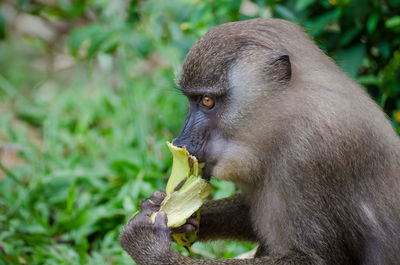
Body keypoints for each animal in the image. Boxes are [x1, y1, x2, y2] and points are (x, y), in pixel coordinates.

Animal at [119, 18, 400, 264]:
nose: (181, 141)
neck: (287, 120)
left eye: (207, 101)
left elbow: (317, 258)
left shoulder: (313, 155)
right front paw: (167, 211)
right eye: (191, 100)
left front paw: (148, 246)